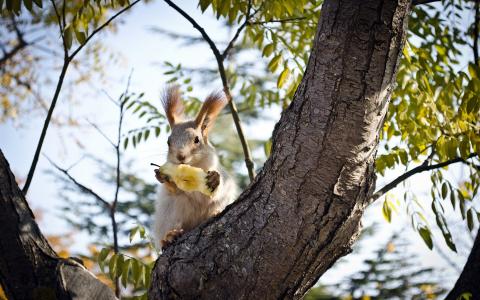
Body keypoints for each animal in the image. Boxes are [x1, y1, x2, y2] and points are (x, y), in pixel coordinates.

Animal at [153, 85, 237, 250]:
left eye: (197, 140)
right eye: (168, 141)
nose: (180, 156)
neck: (193, 166)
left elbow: (213, 192)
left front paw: (214, 179)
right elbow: (174, 189)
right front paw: (161, 177)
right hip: (171, 213)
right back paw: (170, 236)